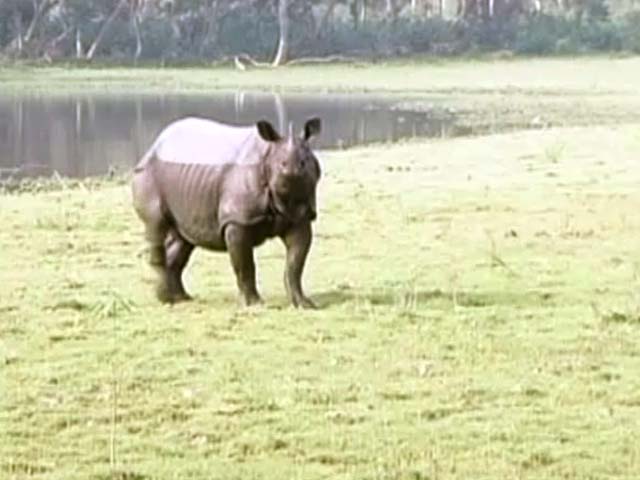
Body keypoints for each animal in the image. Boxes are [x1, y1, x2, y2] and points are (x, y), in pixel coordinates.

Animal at [132, 116, 322, 308]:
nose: (291, 170)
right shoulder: (237, 220)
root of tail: (151, 149)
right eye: (280, 163)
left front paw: (305, 304)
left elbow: (295, 263)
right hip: (147, 174)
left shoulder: (301, 216)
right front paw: (253, 304)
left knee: (182, 239)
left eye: (306, 160)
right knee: (156, 225)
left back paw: (180, 298)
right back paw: (167, 300)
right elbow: (245, 265)